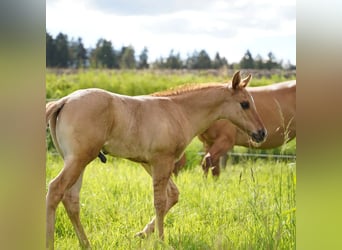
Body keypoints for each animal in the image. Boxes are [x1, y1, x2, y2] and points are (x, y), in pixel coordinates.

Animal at [44, 71, 268, 249]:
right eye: (245, 104)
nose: (261, 133)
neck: (177, 111)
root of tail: (63, 101)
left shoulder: (150, 163)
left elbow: (172, 195)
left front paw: (142, 234)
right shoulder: (162, 161)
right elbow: (160, 202)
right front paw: (161, 240)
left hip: (78, 161)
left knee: (71, 199)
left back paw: (86, 244)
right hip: (79, 160)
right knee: (56, 189)